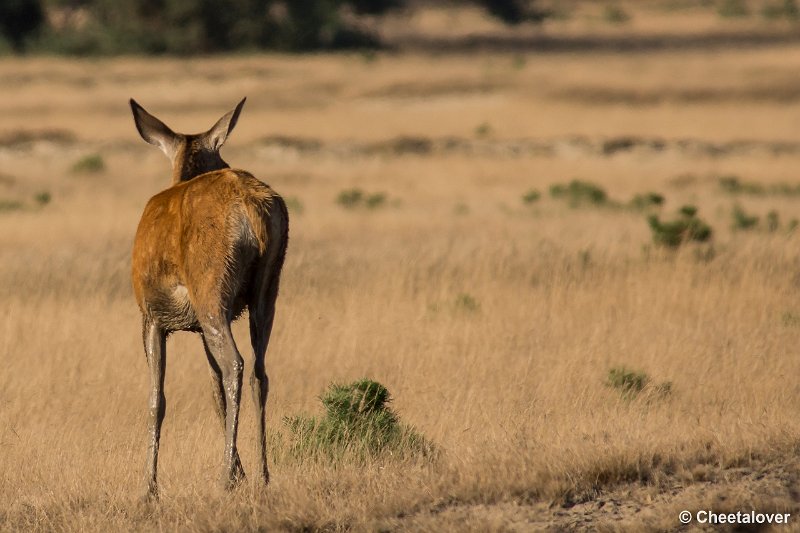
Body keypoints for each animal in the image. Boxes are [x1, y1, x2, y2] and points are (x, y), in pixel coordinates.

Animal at [126, 96, 286, 498]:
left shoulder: (151, 316)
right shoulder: (198, 326)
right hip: (266, 290)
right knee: (259, 371)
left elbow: (157, 399)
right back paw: (263, 474)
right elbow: (213, 392)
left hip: (211, 290)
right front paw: (243, 471)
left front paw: (148, 488)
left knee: (236, 364)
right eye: (221, 154)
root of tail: (251, 209)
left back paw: (225, 478)